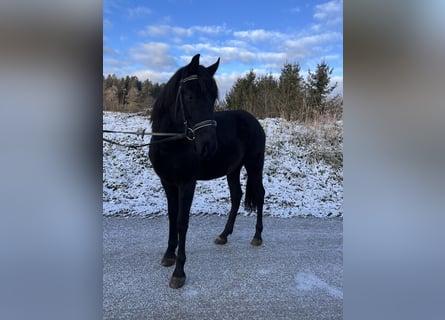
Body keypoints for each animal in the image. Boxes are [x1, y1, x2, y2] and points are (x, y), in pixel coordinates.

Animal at [149, 53, 264, 288]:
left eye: (212, 98)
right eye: (189, 96)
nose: (209, 146)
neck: (170, 142)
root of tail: (254, 121)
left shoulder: (187, 183)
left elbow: (182, 222)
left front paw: (179, 272)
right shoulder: (168, 182)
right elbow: (172, 217)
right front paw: (169, 255)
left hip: (255, 166)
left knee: (259, 195)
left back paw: (257, 237)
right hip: (233, 169)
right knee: (237, 196)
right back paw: (224, 235)